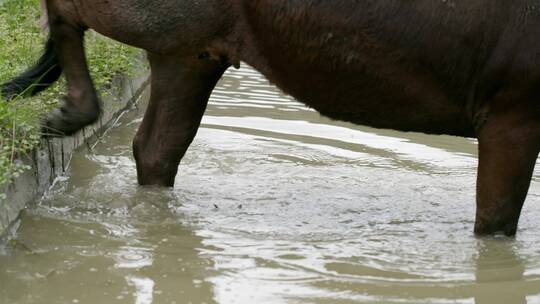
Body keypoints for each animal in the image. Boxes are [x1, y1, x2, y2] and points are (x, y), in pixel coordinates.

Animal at [1, 1, 540, 236]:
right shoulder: (513, 111)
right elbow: (495, 220)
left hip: (191, 52)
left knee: (156, 148)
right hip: (160, 21)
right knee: (68, 12)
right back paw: (67, 113)